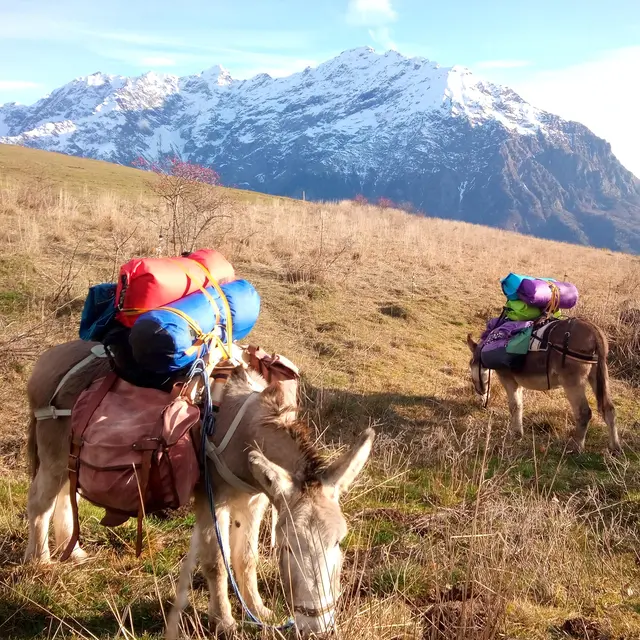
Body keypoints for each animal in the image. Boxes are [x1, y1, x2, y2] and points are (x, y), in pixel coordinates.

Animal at [23, 339, 375, 637]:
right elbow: (217, 562)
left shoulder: (255, 500)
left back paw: (73, 552)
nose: (319, 630)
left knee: (66, 495)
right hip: (53, 453)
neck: (242, 429)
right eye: (287, 547)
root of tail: (51, 356)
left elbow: (247, 557)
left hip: (72, 459)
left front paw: (259, 611)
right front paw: (224, 622)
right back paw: (41, 564)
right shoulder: (211, 500)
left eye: (338, 542)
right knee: (40, 502)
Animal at [466, 318, 621, 453]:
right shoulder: (518, 382)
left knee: (583, 412)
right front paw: (519, 433)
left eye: (470, 368)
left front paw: (516, 434)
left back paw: (576, 448)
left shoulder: (508, 378)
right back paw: (615, 448)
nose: (481, 401)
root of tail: (594, 331)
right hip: (598, 374)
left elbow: (514, 405)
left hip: (572, 381)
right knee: (609, 409)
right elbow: (520, 405)